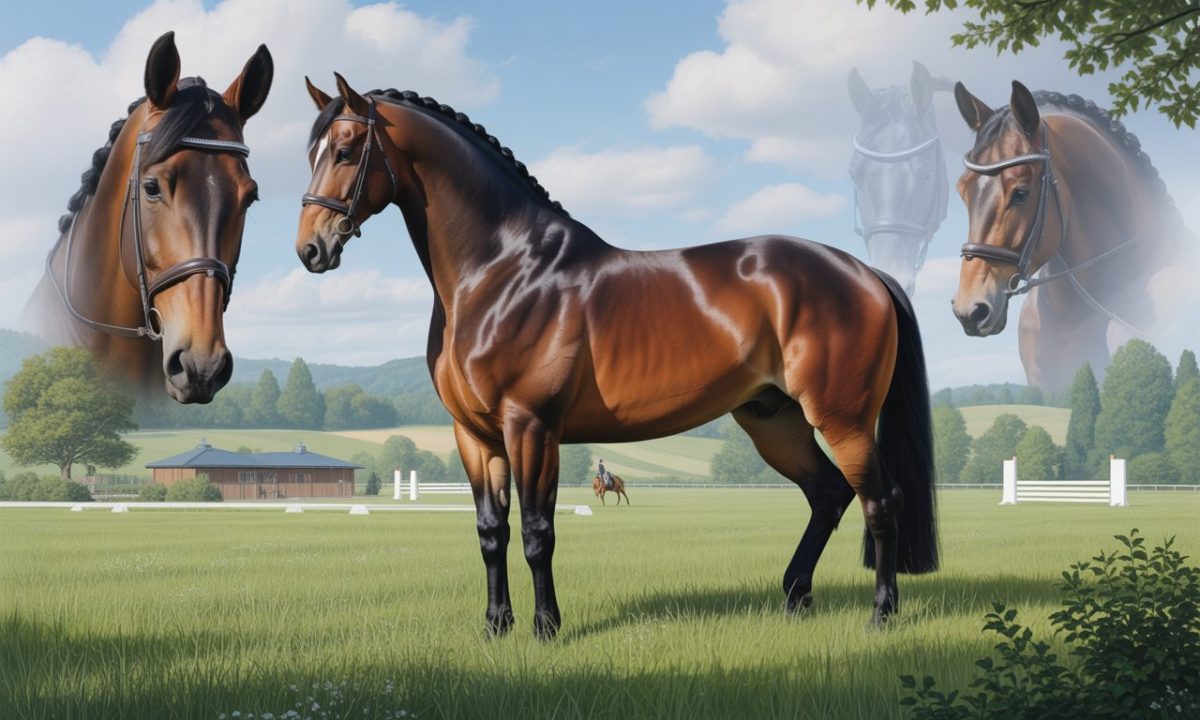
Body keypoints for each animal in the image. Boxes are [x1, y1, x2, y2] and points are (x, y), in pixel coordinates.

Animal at [295, 74, 938, 638]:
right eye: (311, 152)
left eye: (347, 150)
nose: (310, 249)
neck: (503, 271)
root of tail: (864, 273)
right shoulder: (475, 435)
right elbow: (490, 531)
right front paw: (495, 626)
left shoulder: (532, 426)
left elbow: (537, 530)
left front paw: (546, 627)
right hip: (773, 420)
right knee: (827, 495)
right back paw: (794, 597)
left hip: (842, 418)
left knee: (879, 501)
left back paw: (881, 614)